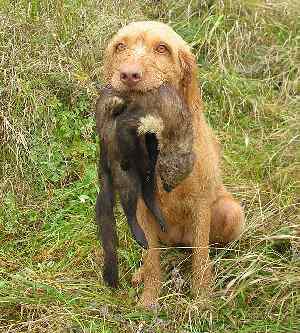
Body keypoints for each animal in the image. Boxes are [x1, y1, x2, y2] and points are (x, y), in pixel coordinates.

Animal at [102, 20, 245, 306]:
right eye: (120, 46)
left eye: (161, 48)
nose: (128, 74)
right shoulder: (143, 209)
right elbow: (152, 261)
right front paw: (149, 300)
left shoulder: (200, 205)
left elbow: (201, 260)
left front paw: (202, 299)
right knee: (153, 253)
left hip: (231, 212)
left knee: (205, 251)